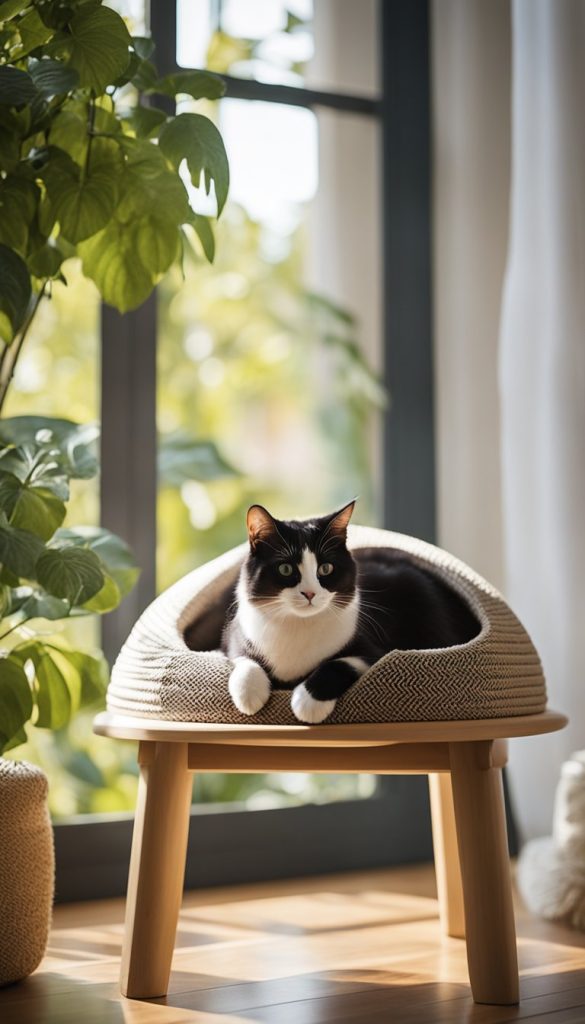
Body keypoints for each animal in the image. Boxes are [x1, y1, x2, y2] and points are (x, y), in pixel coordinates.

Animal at [222, 499, 477, 724]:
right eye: (285, 569)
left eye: (326, 568)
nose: (309, 593)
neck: (297, 624)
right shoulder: (235, 635)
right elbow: (243, 658)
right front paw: (248, 695)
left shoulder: (373, 650)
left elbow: (337, 663)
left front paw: (307, 703)